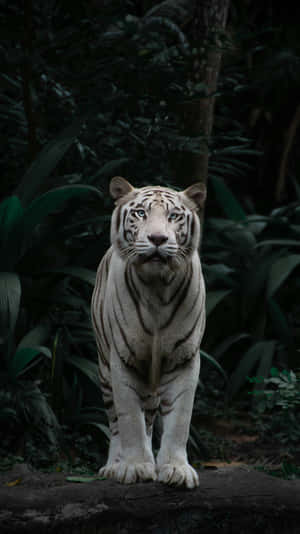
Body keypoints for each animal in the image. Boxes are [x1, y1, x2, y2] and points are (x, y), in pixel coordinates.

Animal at [91, 177, 206, 490]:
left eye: (174, 216)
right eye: (140, 213)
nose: (157, 239)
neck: (157, 288)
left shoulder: (184, 359)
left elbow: (180, 419)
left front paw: (176, 469)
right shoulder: (123, 359)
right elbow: (130, 418)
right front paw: (134, 466)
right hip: (104, 370)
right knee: (116, 422)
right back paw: (113, 466)